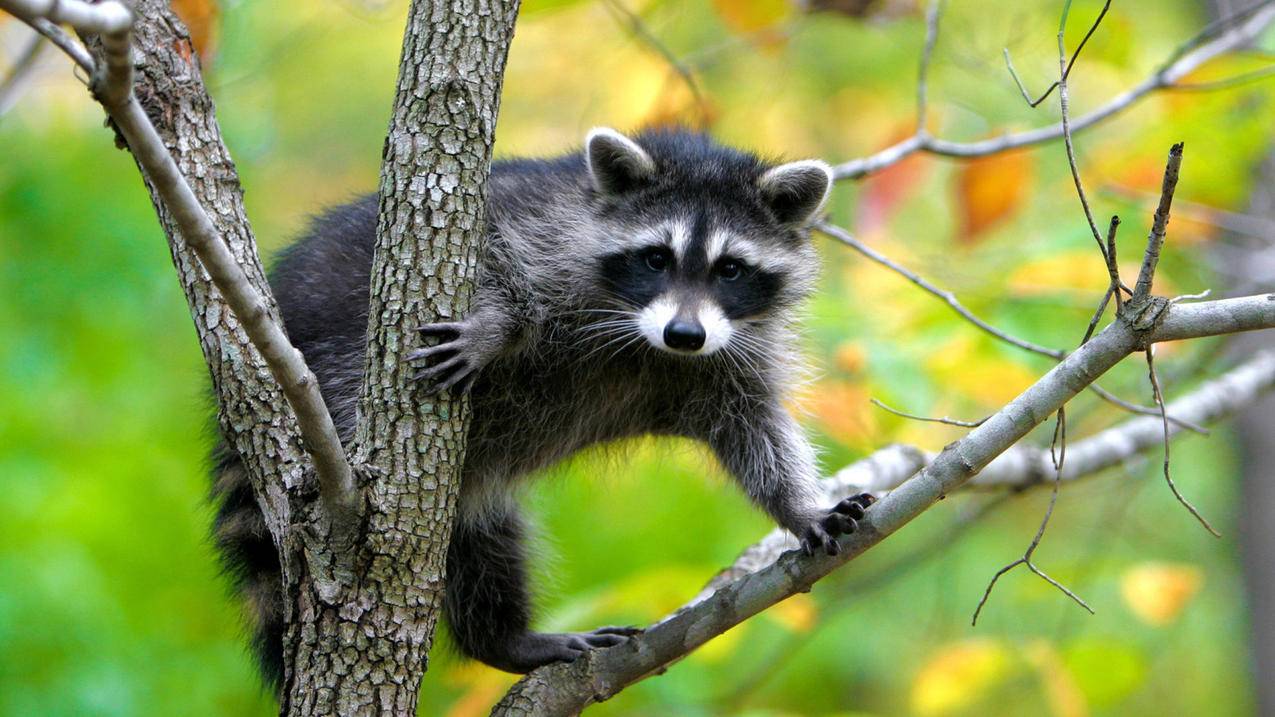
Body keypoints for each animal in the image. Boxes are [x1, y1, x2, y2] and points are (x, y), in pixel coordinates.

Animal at [214, 125, 877, 683]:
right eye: (656, 258)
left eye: (731, 269)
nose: (685, 335)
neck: (646, 342)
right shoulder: (539, 227)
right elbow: (495, 258)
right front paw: (494, 325)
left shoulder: (729, 357)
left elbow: (754, 431)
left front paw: (800, 507)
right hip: (337, 359)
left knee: (482, 542)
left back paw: (502, 639)